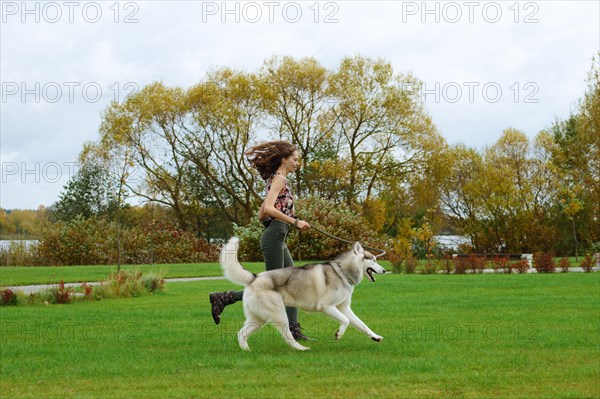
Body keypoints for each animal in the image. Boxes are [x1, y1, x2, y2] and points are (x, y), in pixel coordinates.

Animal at [219, 238, 384, 350]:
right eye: (374, 260)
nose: (384, 270)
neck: (342, 271)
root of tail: (254, 277)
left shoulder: (344, 308)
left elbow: (361, 324)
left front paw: (375, 336)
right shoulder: (326, 307)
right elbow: (346, 321)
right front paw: (339, 334)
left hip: (258, 319)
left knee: (241, 334)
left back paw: (247, 350)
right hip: (279, 314)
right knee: (287, 335)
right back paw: (301, 348)